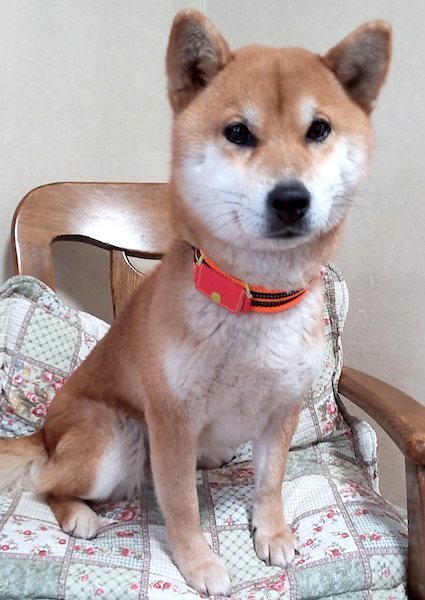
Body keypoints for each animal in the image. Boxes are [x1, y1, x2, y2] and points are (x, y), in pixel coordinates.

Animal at [0, 10, 391, 596]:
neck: (257, 298)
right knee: (46, 483)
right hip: (115, 438)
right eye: (238, 132)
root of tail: (45, 432)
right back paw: (79, 514)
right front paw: (198, 563)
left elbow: (271, 483)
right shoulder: (171, 422)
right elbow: (181, 505)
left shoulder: (282, 409)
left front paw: (272, 532)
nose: (291, 199)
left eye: (319, 129)